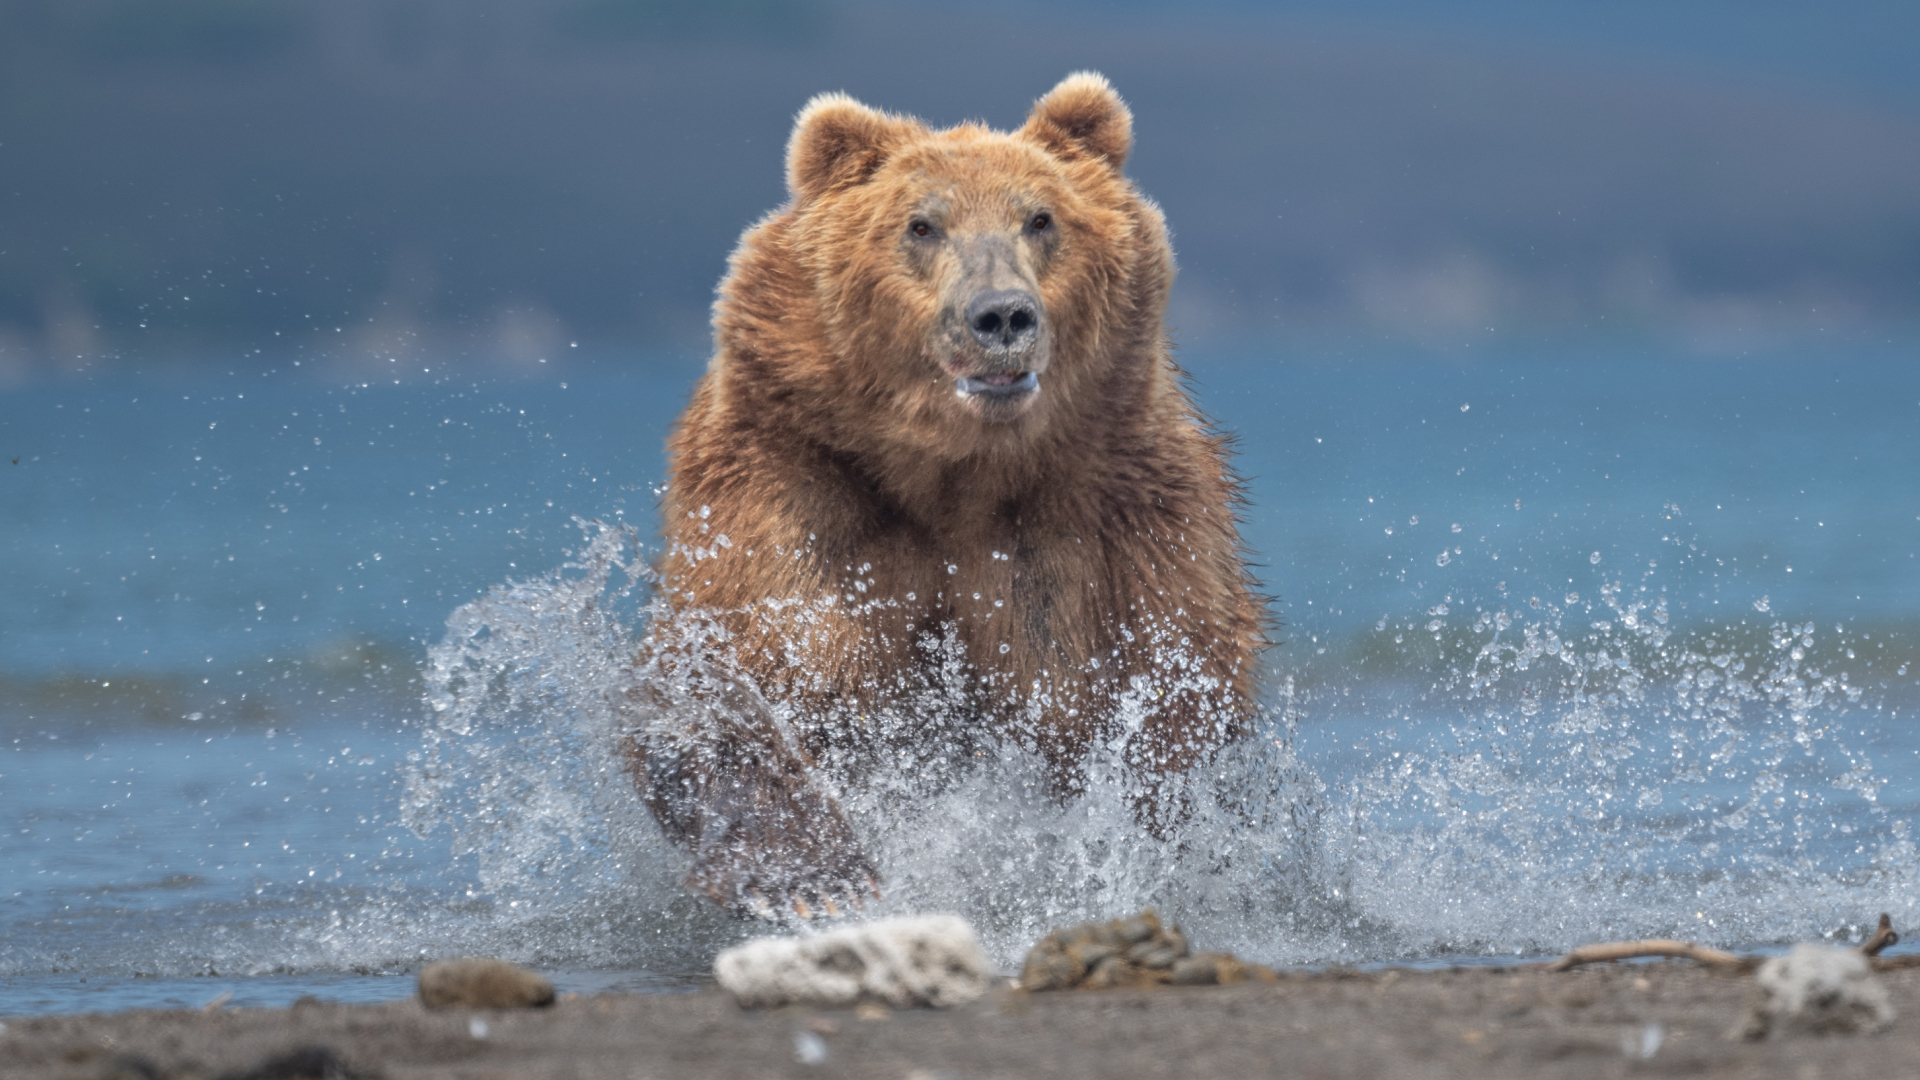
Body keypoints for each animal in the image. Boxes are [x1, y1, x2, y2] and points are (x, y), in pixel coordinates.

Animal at [625, 73, 1269, 919]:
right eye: (922, 224)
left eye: (1041, 217)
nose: (1001, 315)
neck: (956, 473)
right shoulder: (794, 483)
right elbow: (732, 672)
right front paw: (818, 883)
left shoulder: (1119, 509)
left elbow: (1169, 681)